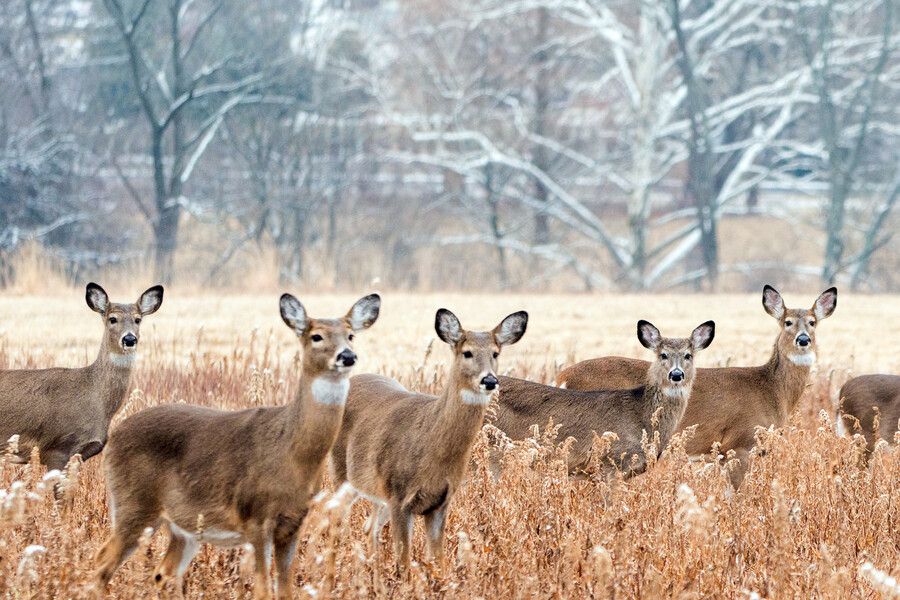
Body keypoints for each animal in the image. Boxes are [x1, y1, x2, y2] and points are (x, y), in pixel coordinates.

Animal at [92, 293, 380, 600]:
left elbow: (285, 590)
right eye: (316, 336)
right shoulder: (255, 517)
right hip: (133, 504)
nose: (347, 356)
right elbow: (263, 590)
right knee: (102, 563)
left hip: (184, 525)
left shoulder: (293, 523)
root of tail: (115, 435)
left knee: (163, 573)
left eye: (351, 335)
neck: (292, 452)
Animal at [329, 308, 528, 577]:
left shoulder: (440, 502)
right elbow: (403, 562)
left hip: (376, 489)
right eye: (467, 352)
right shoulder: (400, 496)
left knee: (369, 527)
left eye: (495, 353)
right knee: (336, 520)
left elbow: (437, 561)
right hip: (342, 472)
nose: (489, 380)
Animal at [555, 285, 837, 488]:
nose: (803, 340)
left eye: (813, 321)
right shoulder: (739, 443)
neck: (771, 389)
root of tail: (562, 375)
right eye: (787, 322)